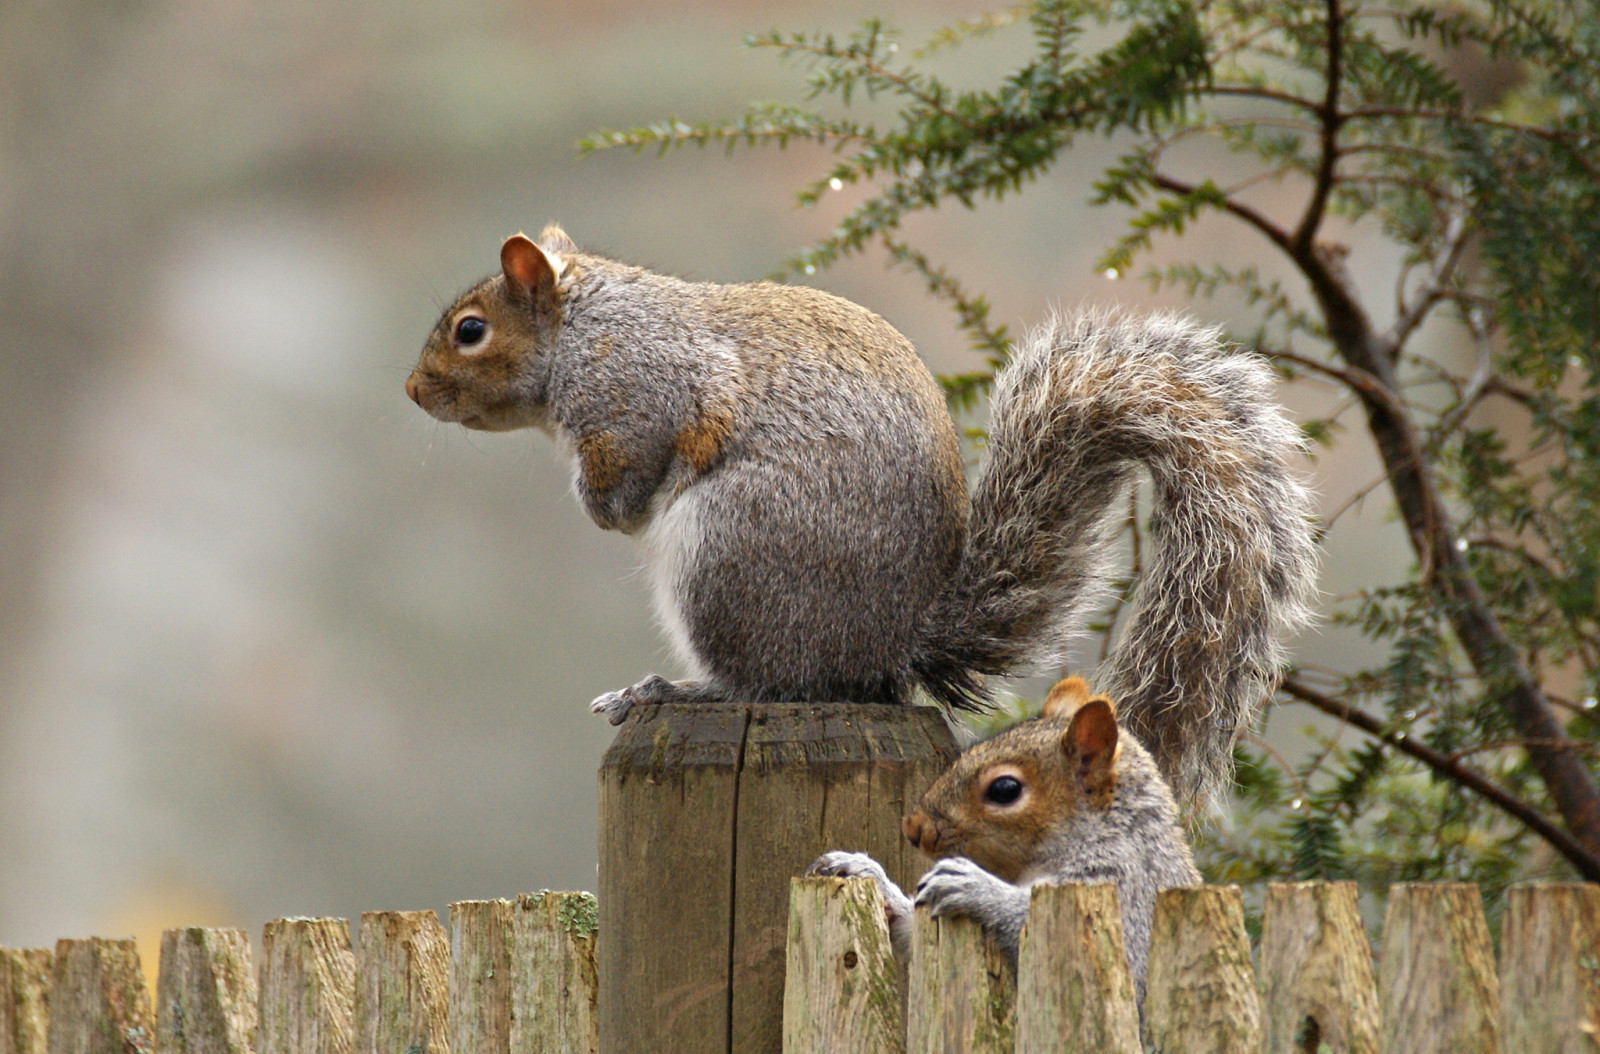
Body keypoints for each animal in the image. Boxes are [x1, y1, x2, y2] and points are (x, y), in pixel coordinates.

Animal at [406, 225, 1318, 809]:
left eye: (470, 331)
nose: (413, 392)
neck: (584, 328)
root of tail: (893, 642)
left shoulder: (639, 396)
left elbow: (631, 473)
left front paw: (601, 509)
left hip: (730, 553)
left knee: (770, 681)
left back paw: (670, 690)